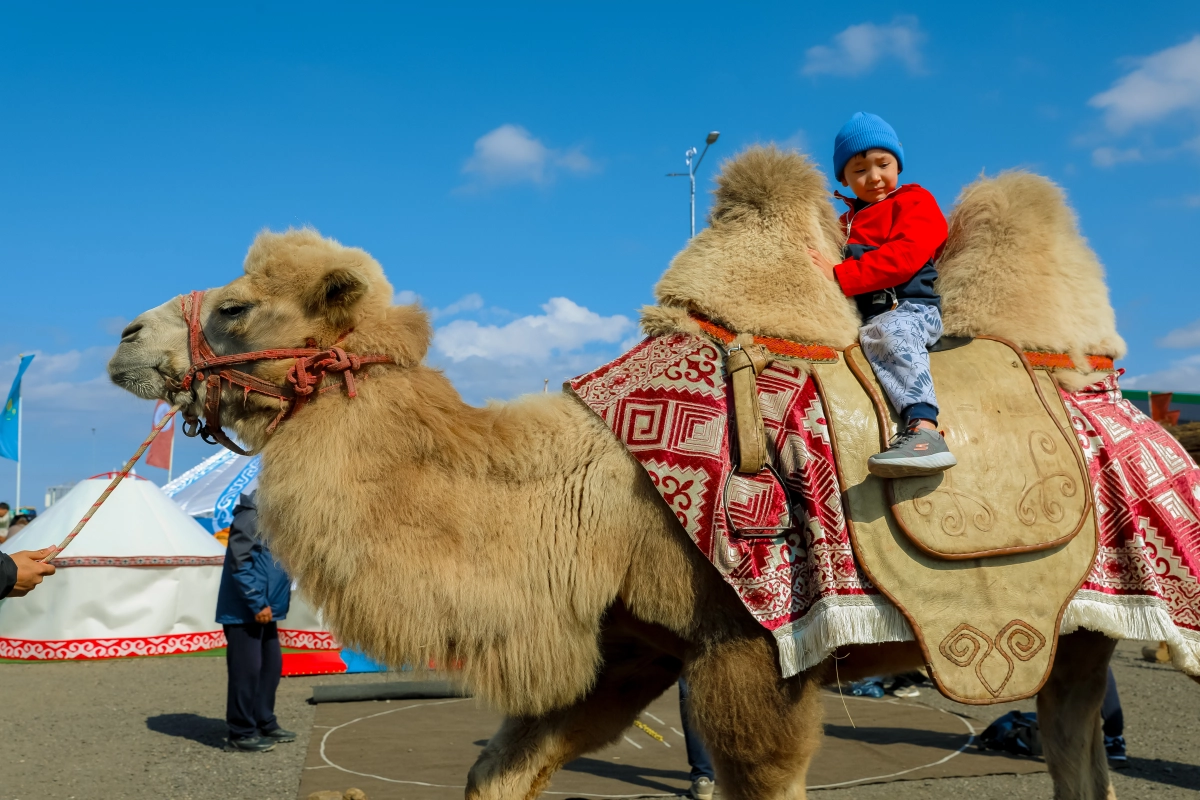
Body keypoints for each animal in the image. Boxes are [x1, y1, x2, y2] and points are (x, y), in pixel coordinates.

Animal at [110, 151, 1132, 800]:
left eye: (237, 309)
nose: (124, 338)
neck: (577, 492)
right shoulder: (627, 645)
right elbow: (497, 771)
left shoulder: (752, 645)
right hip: (1080, 638)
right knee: (1076, 747)